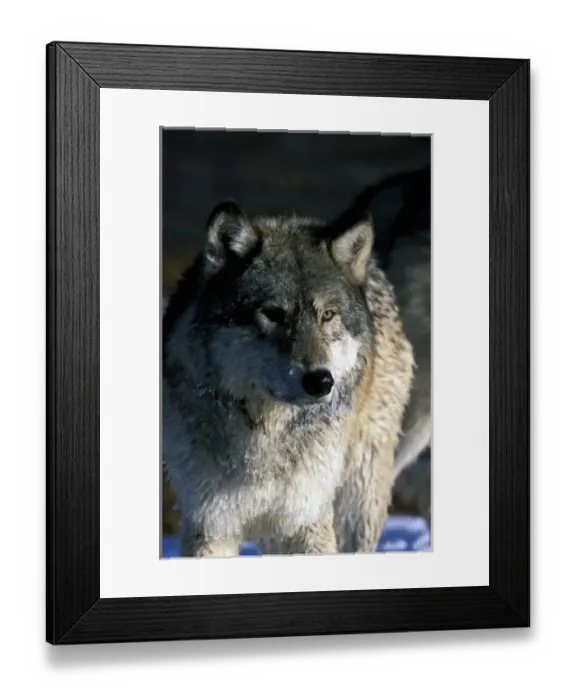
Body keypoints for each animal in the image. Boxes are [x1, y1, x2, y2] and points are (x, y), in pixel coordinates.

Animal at [162, 200, 414, 556]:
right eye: (273, 314)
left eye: (328, 315)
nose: (321, 381)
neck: (265, 435)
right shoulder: (211, 526)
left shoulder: (305, 520)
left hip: (357, 496)